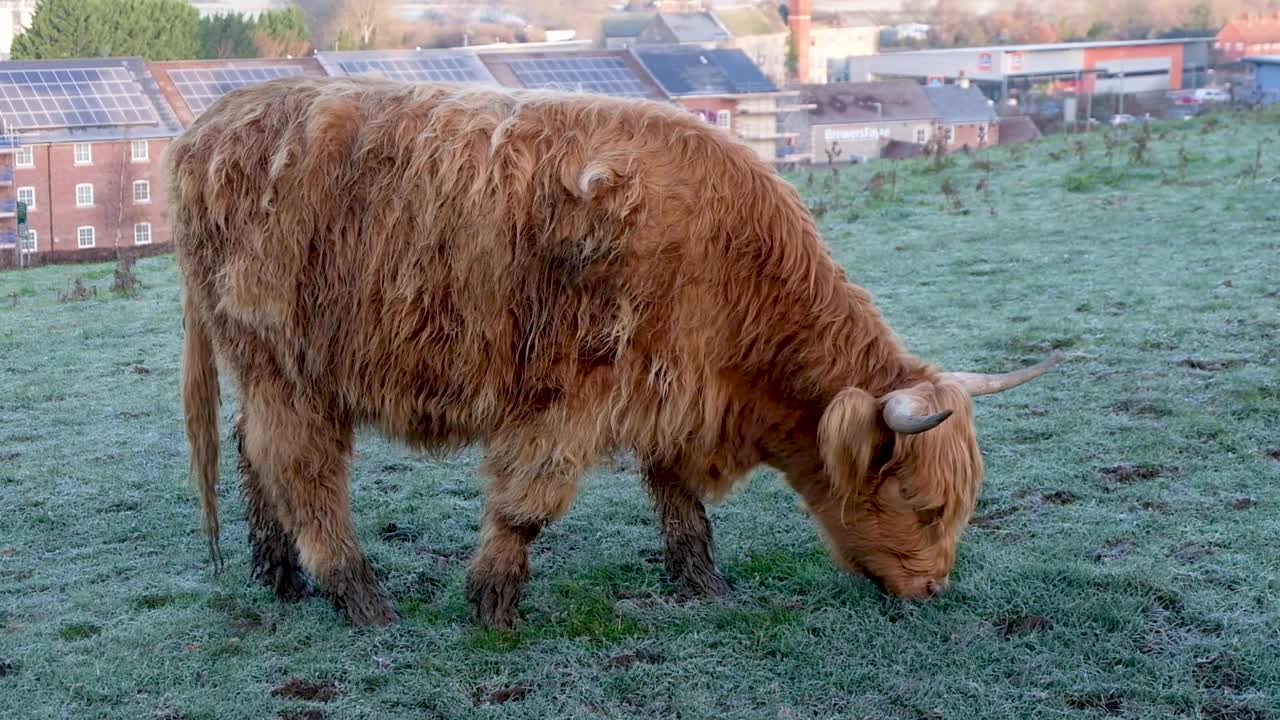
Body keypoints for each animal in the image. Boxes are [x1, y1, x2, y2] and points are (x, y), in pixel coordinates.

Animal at [169, 76, 1059, 628]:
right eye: (923, 503)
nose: (933, 587)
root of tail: (210, 126)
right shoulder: (572, 396)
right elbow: (526, 507)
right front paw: (493, 604)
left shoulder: (670, 387)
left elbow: (677, 497)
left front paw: (703, 584)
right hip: (284, 362)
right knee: (301, 470)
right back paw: (357, 596)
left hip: (268, 370)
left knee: (253, 453)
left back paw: (280, 577)